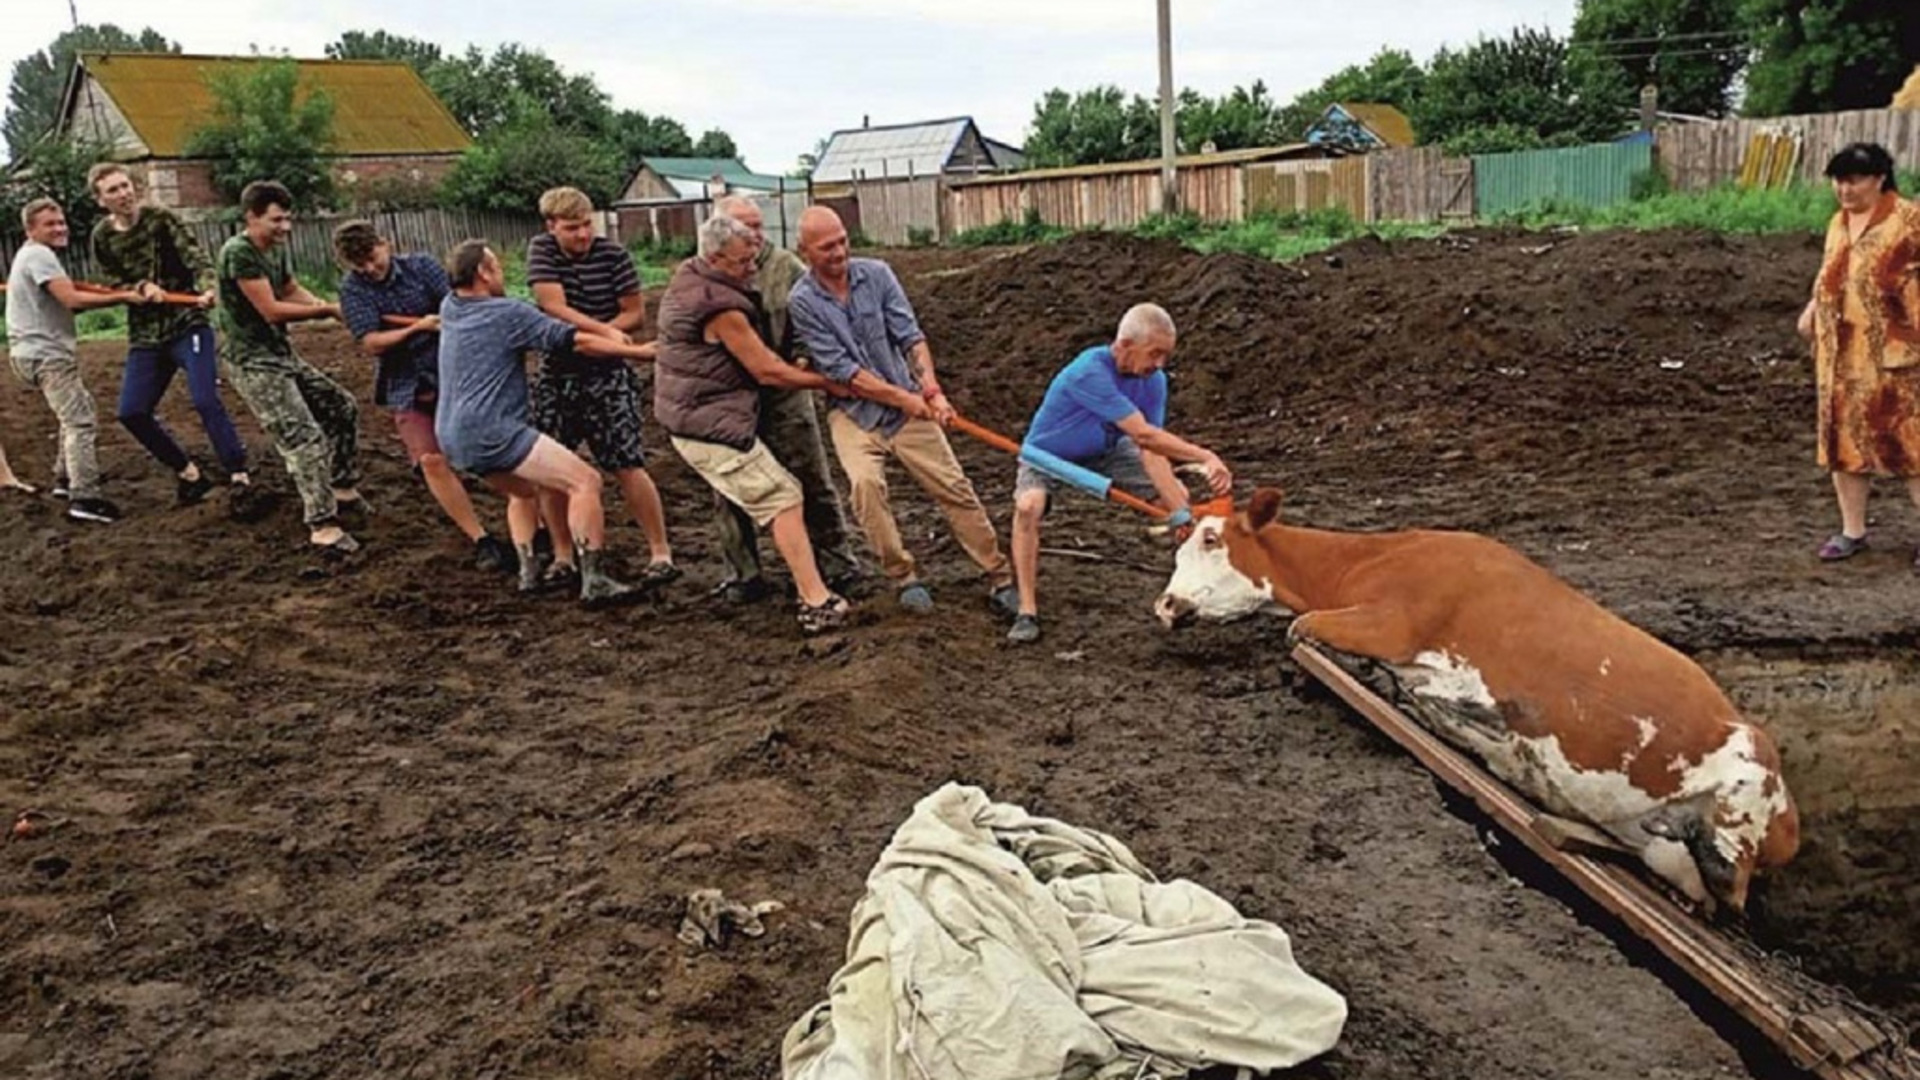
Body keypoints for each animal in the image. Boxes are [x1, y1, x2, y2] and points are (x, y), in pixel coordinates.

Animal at [1152, 491, 1797, 910]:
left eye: (1211, 538)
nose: (1165, 604)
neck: (1367, 560)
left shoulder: (1391, 622)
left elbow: (1301, 627)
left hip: (1739, 811)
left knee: (1726, 891)